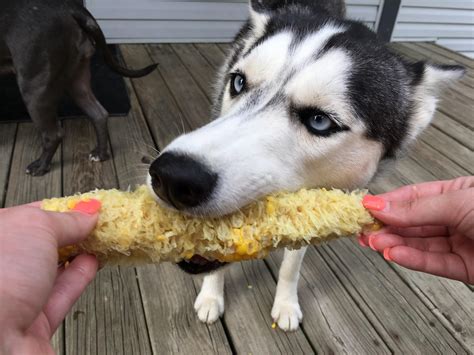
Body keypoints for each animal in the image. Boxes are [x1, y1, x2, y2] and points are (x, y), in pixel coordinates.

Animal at [147, 0, 462, 334]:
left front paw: (286, 304)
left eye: (319, 121)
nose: (172, 177)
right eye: (238, 82)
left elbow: (291, 265)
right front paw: (210, 296)